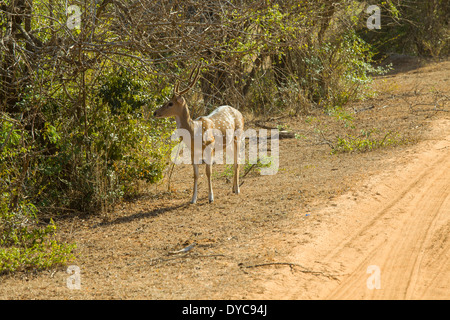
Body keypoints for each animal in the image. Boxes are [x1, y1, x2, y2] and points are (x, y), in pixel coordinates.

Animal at [153, 65, 244, 204]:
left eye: (170, 103)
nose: (155, 112)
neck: (194, 132)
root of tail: (240, 113)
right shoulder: (192, 151)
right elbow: (195, 174)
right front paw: (193, 199)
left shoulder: (210, 146)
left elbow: (208, 172)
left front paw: (211, 198)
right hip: (226, 144)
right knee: (234, 160)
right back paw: (233, 188)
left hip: (237, 136)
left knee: (237, 160)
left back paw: (237, 189)